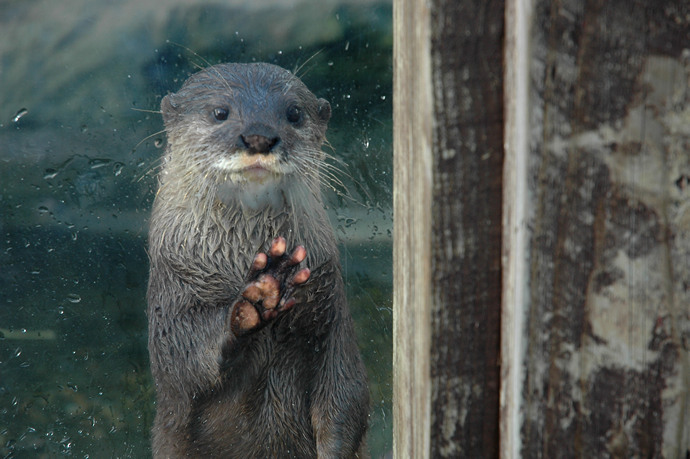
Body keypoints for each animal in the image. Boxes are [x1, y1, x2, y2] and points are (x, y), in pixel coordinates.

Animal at [147, 63, 369, 458]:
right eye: (220, 112)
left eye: (293, 113)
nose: (259, 137)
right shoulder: (172, 291)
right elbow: (181, 362)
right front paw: (257, 301)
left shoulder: (330, 308)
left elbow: (345, 392)